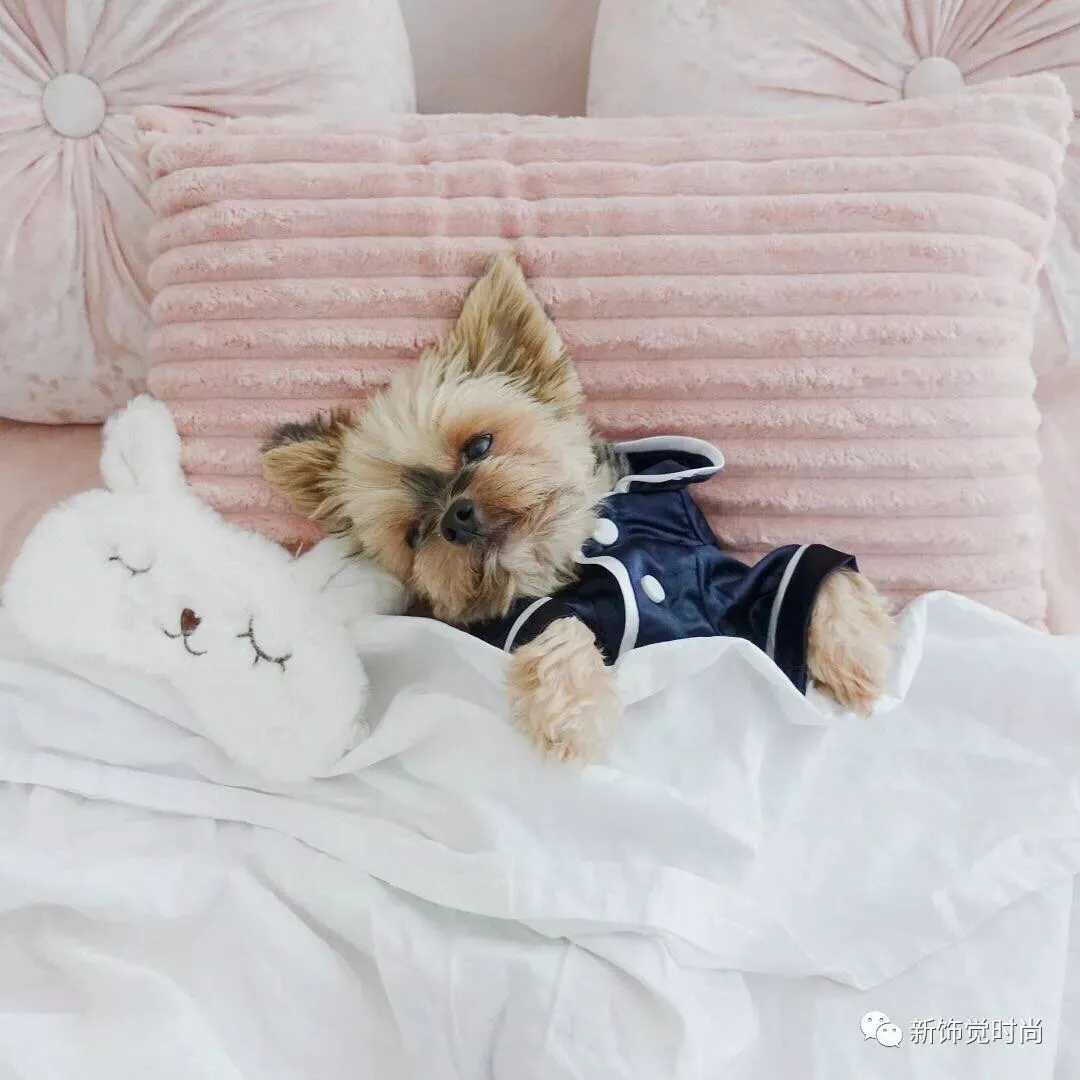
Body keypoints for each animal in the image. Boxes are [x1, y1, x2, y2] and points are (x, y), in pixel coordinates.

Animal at [262, 254, 893, 761]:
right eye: (415, 535)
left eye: (479, 446)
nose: (455, 518)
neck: (578, 541)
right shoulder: (523, 618)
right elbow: (556, 625)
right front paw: (575, 714)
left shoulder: (738, 585)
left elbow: (814, 572)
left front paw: (862, 659)